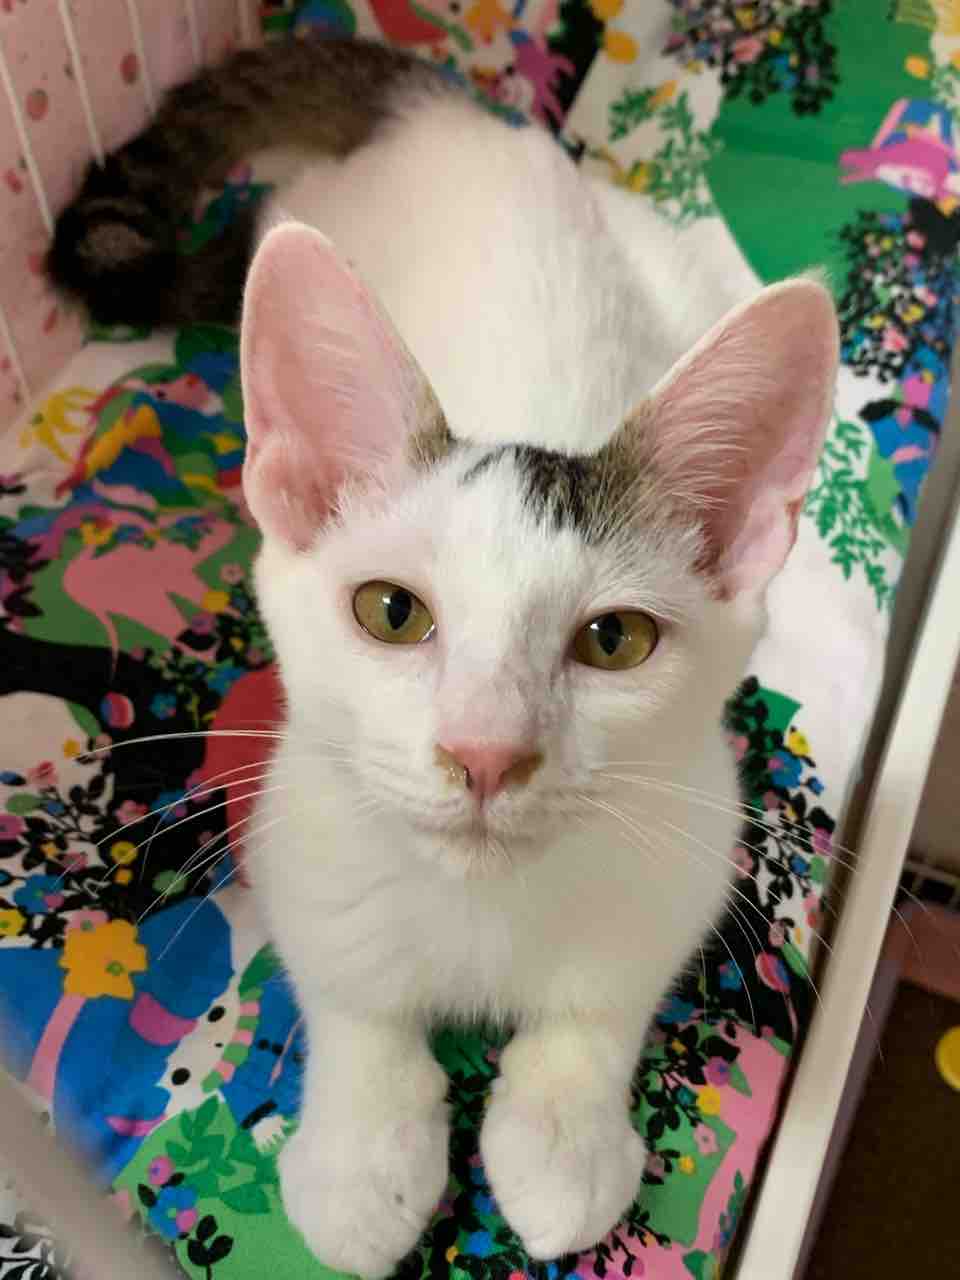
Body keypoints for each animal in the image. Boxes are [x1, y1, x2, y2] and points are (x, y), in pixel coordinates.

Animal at [49, 36, 839, 1279]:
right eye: (390, 611)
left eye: (615, 639)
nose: (484, 752)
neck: (486, 907)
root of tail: (440, 114)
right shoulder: (299, 829)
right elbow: (353, 992)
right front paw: (365, 1159)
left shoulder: (691, 832)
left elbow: (603, 997)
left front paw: (560, 1140)